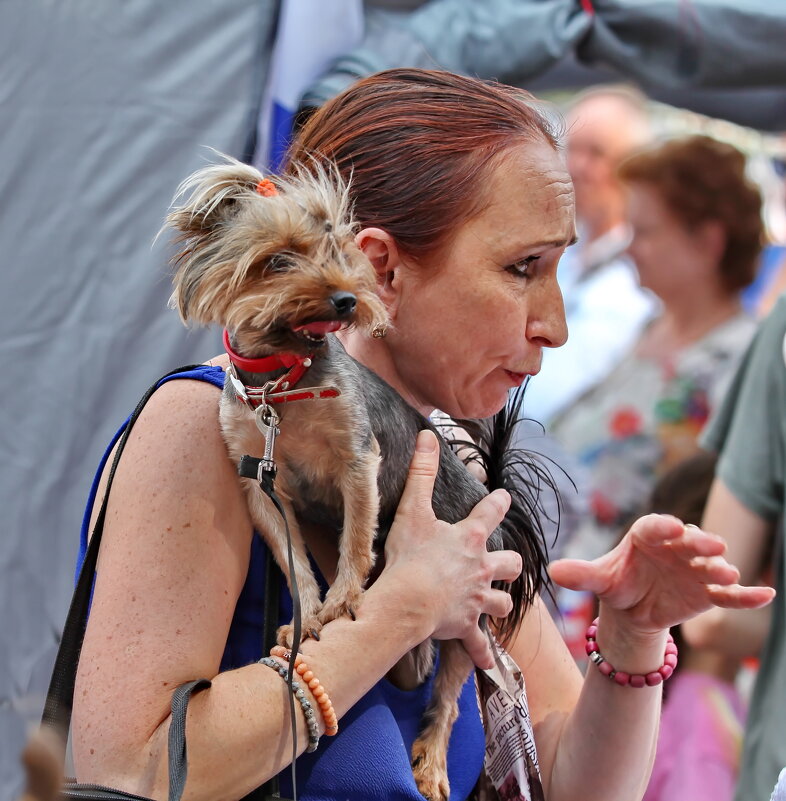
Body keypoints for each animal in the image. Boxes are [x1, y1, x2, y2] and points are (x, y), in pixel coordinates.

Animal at [165, 155, 540, 800]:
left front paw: (341, 599)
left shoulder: (357, 460)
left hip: (474, 612)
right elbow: (294, 562)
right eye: (279, 260)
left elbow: (355, 541)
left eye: (339, 251)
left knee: (450, 692)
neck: (281, 383)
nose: (344, 300)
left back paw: (432, 764)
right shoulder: (260, 485)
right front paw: (309, 616)